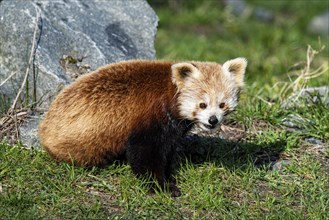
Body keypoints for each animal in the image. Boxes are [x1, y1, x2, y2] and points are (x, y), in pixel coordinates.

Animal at [38, 58, 246, 196]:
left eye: (222, 104)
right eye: (202, 104)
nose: (213, 120)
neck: (170, 91)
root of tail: (44, 127)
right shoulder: (152, 116)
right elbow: (144, 152)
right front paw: (162, 186)